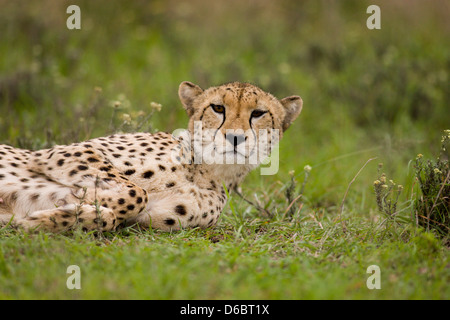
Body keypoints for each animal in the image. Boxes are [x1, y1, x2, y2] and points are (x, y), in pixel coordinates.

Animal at [0, 81, 302, 232]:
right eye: (217, 108)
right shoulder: (60, 152)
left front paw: (49, 217)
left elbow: (114, 215)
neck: (206, 169)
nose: (235, 137)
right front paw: (79, 198)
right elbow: (135, 192)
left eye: (258, 113)